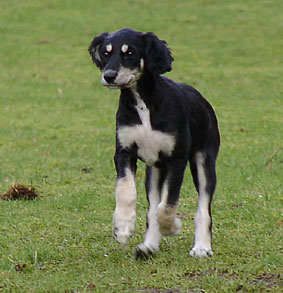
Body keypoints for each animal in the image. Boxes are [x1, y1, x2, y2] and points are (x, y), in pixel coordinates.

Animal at [88, 28, 220, 258]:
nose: (109, 76)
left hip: (204, 161)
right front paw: (122, 226)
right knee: (152, 208)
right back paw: (149, 246)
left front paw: (172, 226)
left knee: (203, 207)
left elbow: (167, 204)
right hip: (155, 171)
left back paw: (202, 247)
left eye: (130, 53)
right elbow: (126, 190)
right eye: (106, 53)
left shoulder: (177, 158)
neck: (143, 102)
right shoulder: (124, 152)